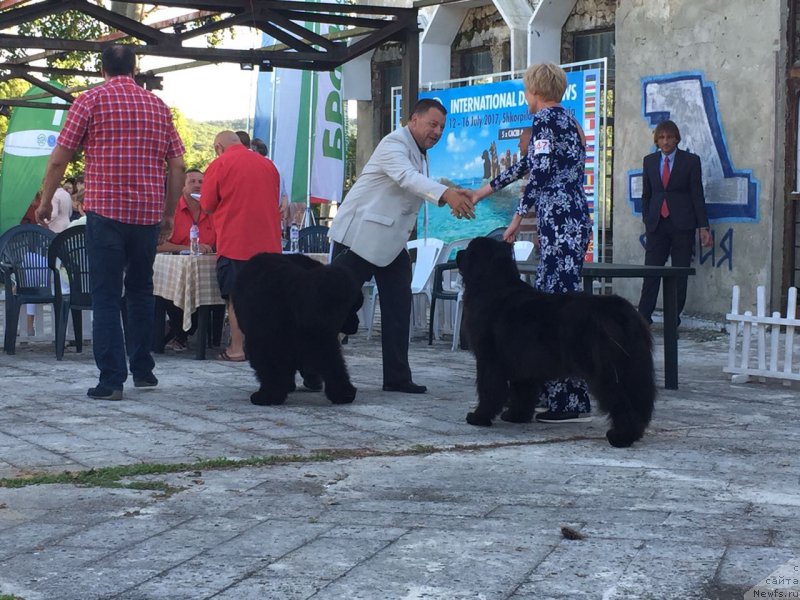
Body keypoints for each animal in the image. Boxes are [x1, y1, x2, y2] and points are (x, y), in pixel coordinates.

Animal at [231, 253, 362, 408]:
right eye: (351, 309)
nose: (357, 323)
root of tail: (294, 282)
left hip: (263, 338)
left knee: (270, 368)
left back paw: (266, 397)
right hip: (320, 339)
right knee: (333, 365)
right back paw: (345, 395)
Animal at [456, 237, 656, 448]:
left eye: (469, 249)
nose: (458, 253)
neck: (493, 286)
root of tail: (622, 312)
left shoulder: (489, 359)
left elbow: (488, 389)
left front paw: (478, 417)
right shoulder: (523, 362)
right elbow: (522, 391)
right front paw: (516, 416)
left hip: (607, 371)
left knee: (621, 402)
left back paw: (621, 437)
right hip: (633, 368)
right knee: (638, 400)